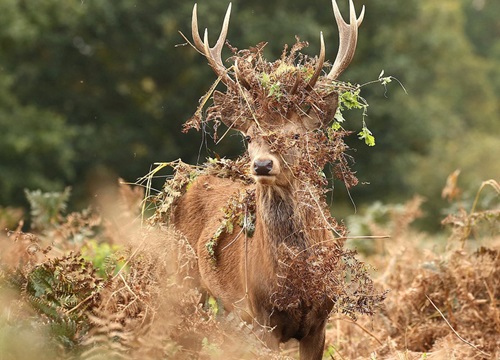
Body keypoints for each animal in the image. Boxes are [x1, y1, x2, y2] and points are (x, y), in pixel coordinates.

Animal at [171, 1, 364, 358]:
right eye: (248, 137)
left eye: (296, 135)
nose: (262, 165)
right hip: (184, 272)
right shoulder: (262, 317)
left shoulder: (321, 321)